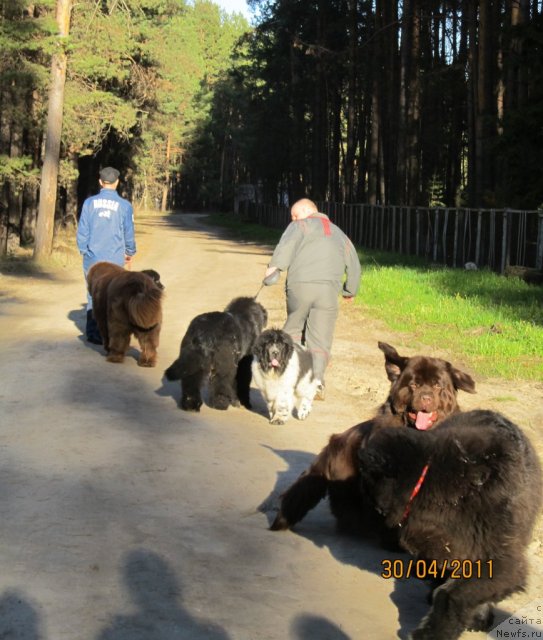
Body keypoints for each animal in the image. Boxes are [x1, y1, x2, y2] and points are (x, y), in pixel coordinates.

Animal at [360, 410, 540, 640]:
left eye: (368, 483)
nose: (368, 505)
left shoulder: (500, 558)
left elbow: (451, 595)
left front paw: (433, 632)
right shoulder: (442, 546)